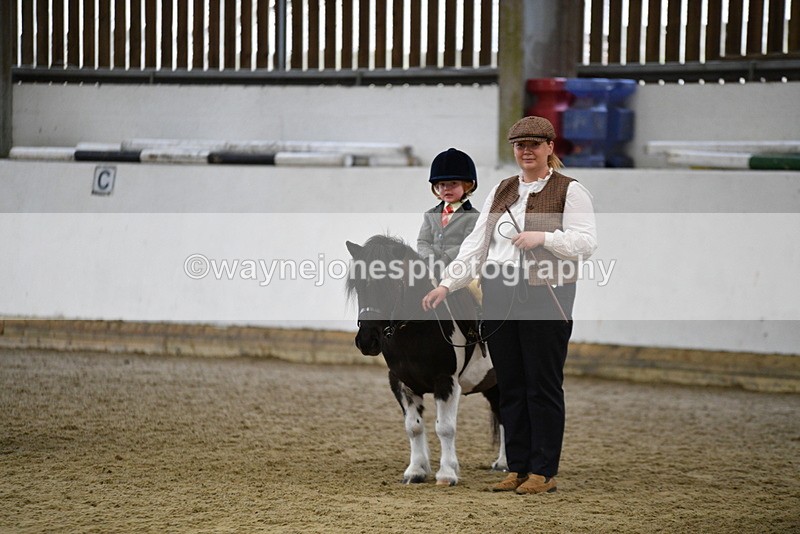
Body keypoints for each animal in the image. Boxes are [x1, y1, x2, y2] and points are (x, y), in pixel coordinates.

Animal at [345, 235, 507, 486]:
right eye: (358, 286)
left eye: (391, 285)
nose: (367, 341)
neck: (416, 330)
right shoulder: (402, 383)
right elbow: (413, 427)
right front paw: (416, 471)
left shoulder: (446, 381)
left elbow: (445, 428)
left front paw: (447, 473)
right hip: (492, 383)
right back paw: (502, 463)